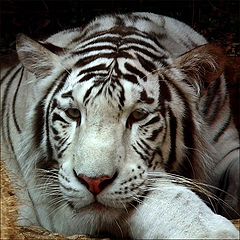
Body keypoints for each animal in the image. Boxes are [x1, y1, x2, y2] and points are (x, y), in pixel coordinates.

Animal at [0, 12, 239, 238]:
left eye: (138, 115)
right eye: (73, 112)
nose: (93, 182)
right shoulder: (53, 197)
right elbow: (166, 193)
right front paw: (212, 232)